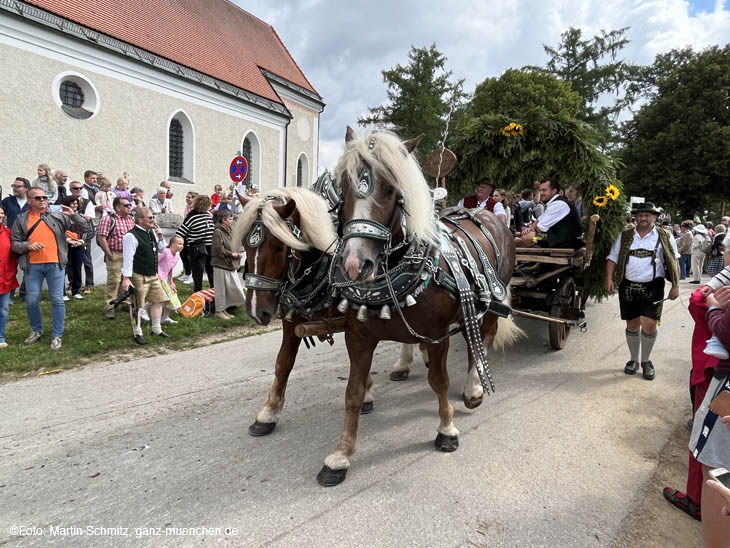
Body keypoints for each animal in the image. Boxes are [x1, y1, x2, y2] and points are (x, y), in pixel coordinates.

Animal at [316, 126, 520, 486]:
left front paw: (447, 428)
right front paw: (340, 455)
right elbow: (353, 393)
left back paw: (474, 388)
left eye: (390, 189)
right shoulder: (358, 336)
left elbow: (440, 381)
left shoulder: (437, 334)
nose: (355, 265)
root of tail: (485, 213)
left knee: (479, 339)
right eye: (343, 187)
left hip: (490, 300)